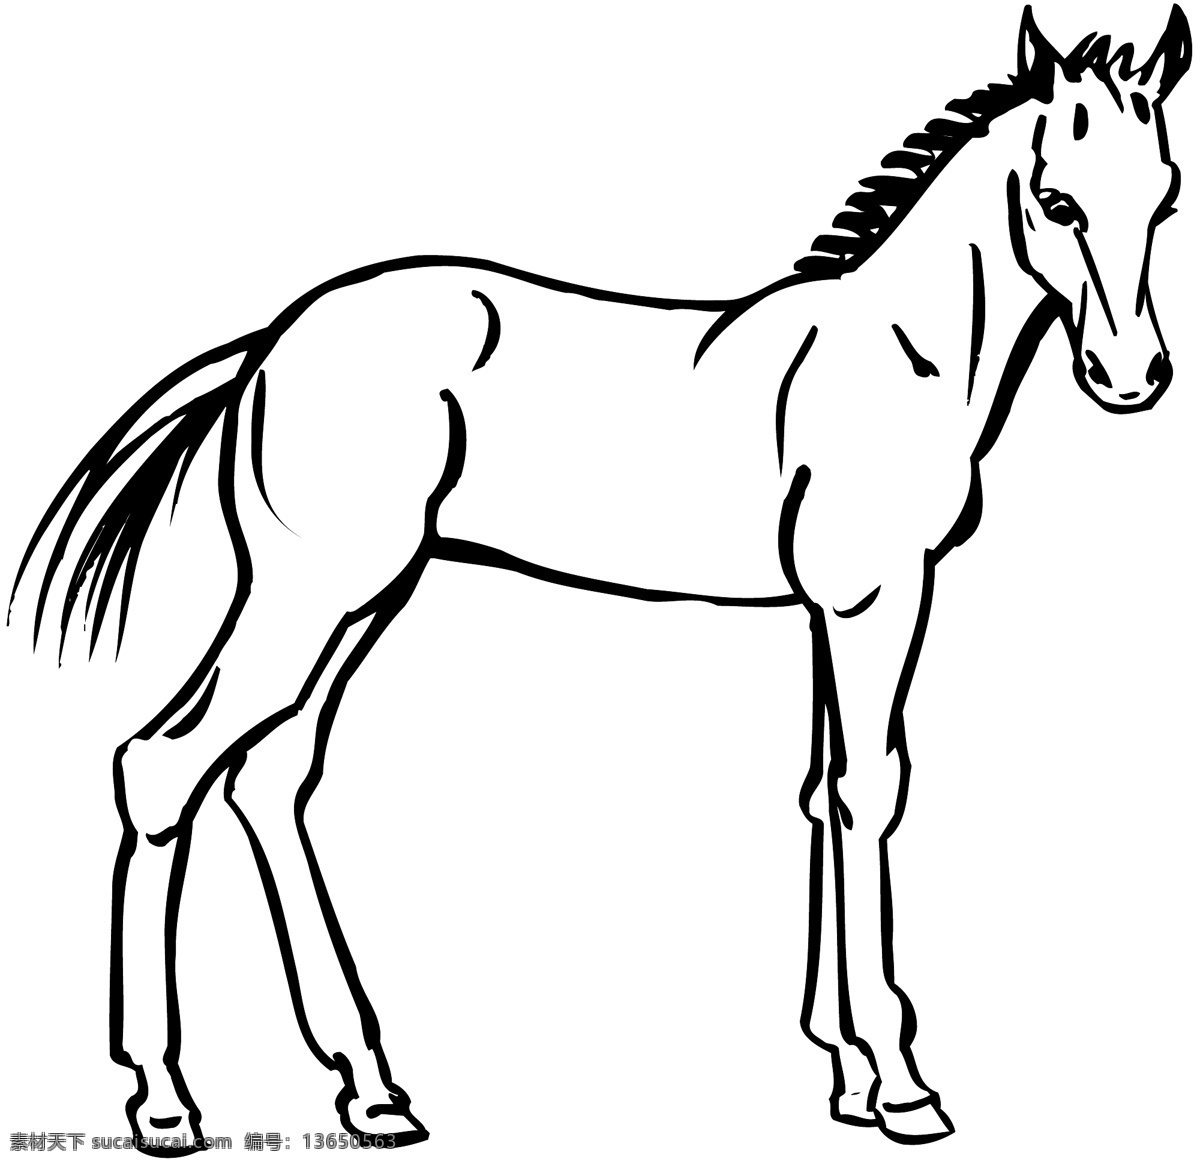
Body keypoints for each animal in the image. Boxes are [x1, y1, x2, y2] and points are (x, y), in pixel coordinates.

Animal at [10, 5, 1190, 1152]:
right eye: (1057, 201)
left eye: (1167, 198)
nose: (1134, 376)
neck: (905, 351)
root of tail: (270, 344)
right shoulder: (877, 596)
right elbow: (867, 792)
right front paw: (899, 1083)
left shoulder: (827, 607)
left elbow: (818, 790)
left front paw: (845, 1077)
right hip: (311, 594)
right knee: (162, 765)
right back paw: (165, 1099)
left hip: (365, 597)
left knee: (270, 774)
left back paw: (372, 1088)